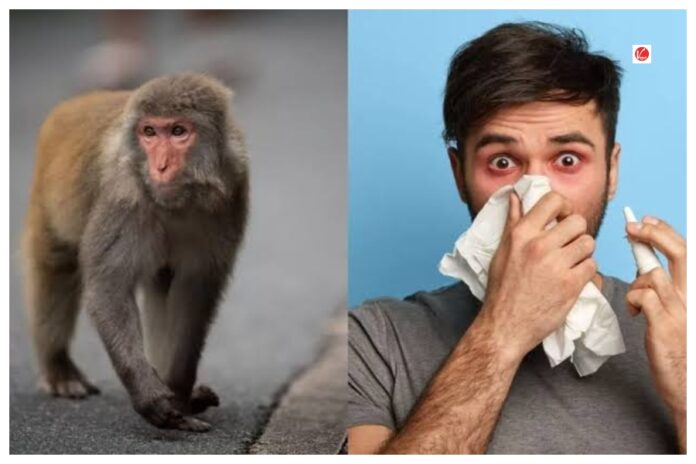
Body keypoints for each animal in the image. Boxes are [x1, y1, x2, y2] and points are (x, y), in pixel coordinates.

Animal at [21, 73, 249, 432]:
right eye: (149, 132)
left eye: (178, 131)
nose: (160, 166)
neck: (177, 202)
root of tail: (73, 104)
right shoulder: (123, 197)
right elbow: (109, 287)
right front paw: (150, 396)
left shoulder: (231, 192)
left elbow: (193, 293)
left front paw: (179, 394)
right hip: (47, 202)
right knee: (56, 264)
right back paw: (59, 368)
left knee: (162, 284)